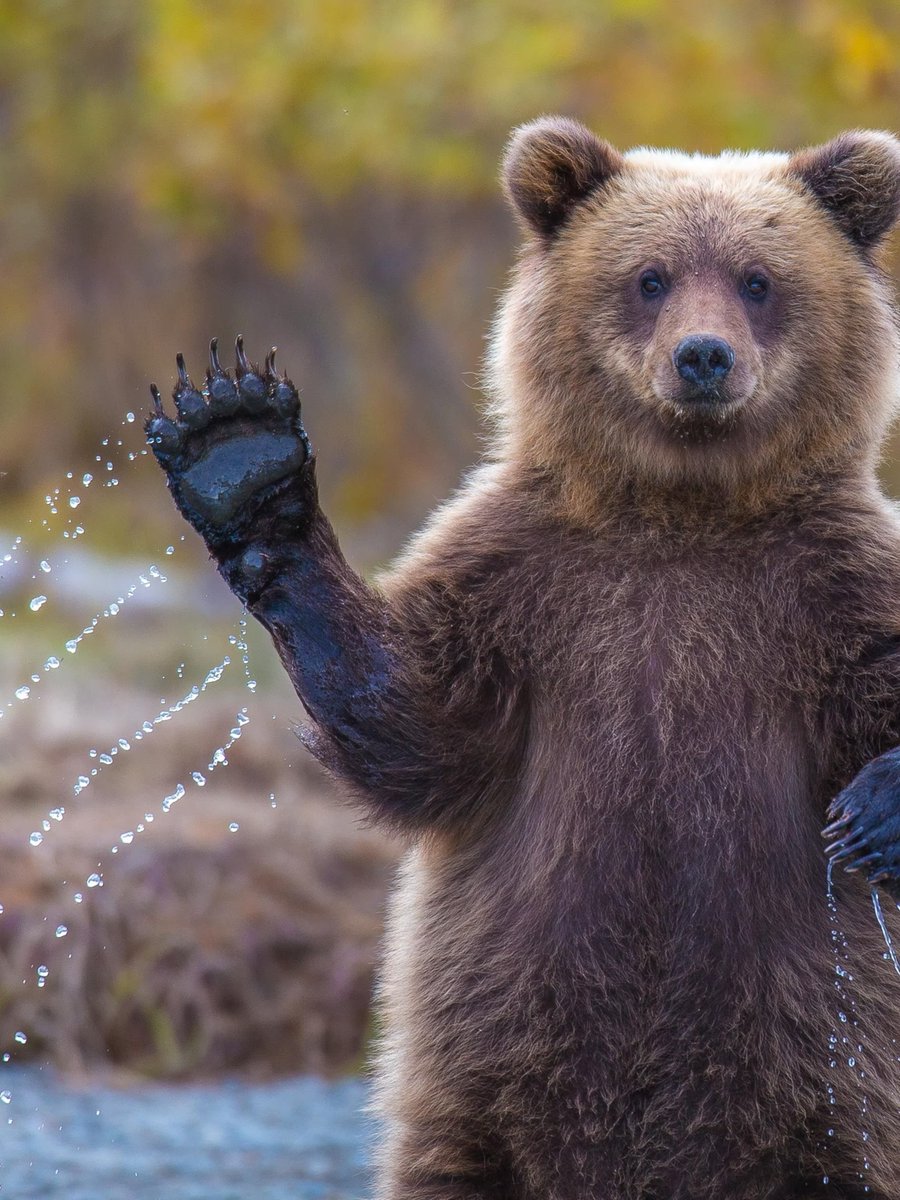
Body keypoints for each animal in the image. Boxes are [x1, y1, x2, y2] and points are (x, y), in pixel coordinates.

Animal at [146, 118, 900, 1198]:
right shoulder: (526, 586)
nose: (703, 358)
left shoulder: (829, 590)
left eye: (758, 279)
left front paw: (871, 812)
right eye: (650, 277)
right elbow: (418, 723)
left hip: (822, 1081)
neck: (684, 510)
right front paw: (239, 451)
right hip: (485, 1076)